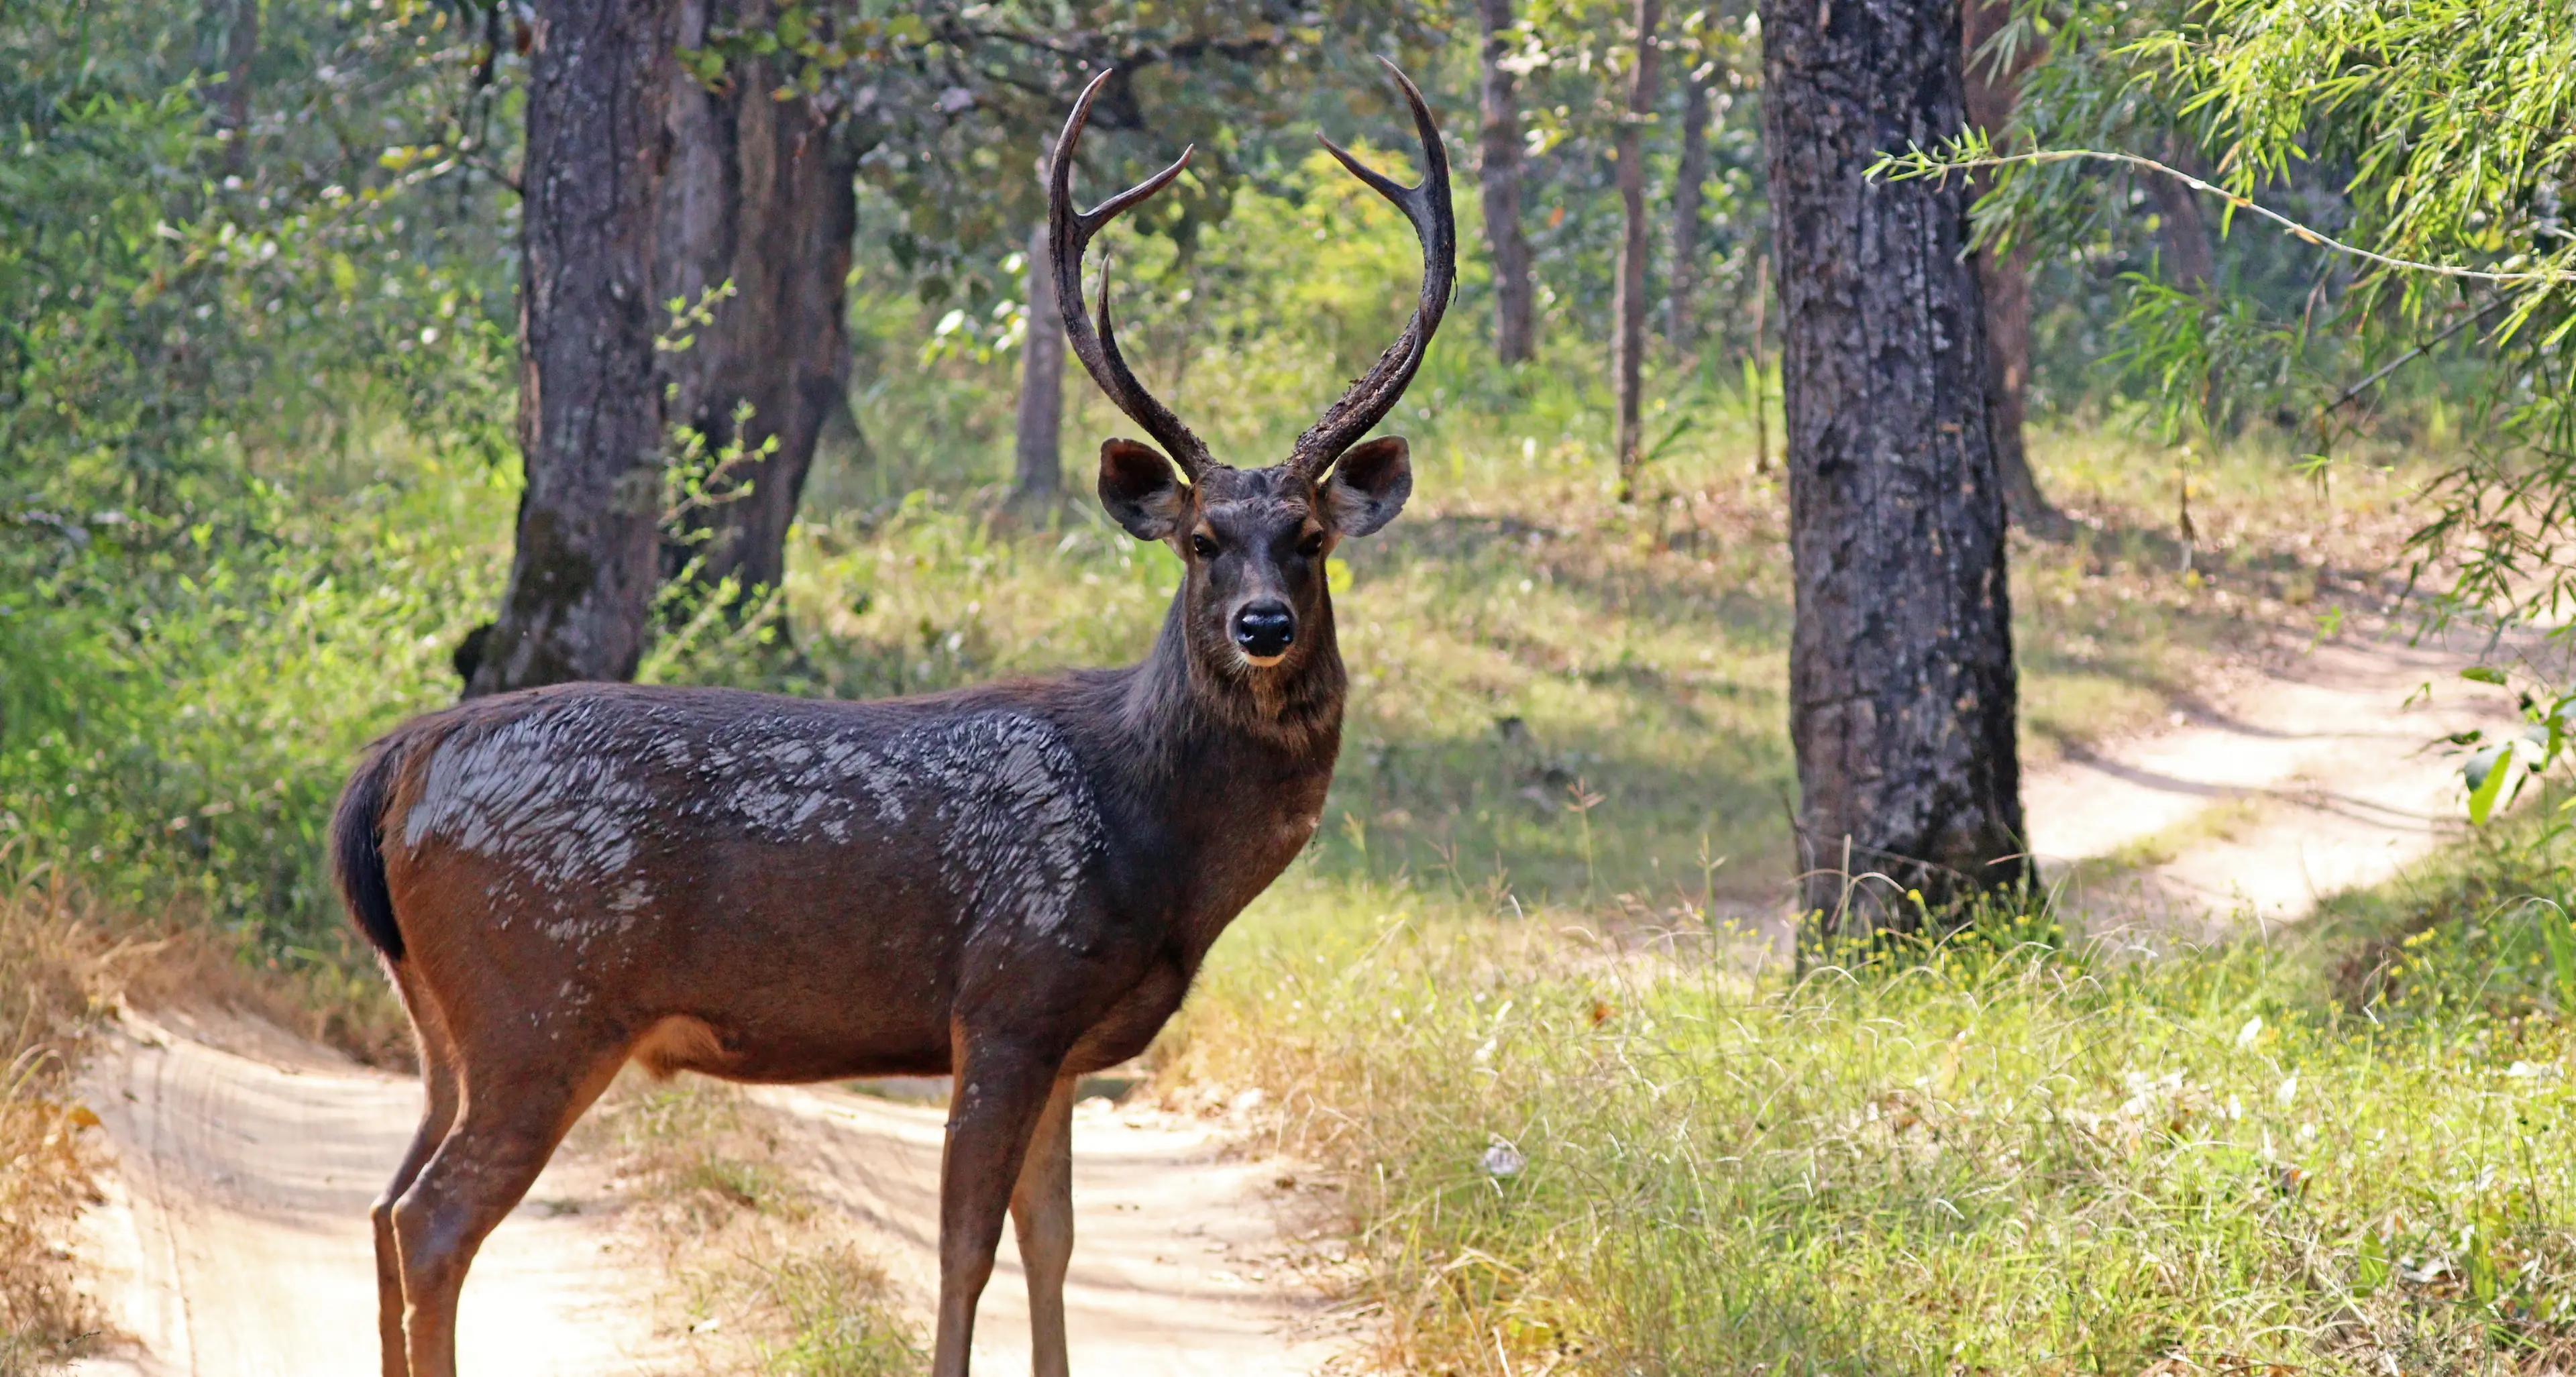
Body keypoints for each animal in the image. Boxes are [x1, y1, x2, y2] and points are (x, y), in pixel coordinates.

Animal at [327, 59, 1453, 1377]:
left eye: (1312, 538)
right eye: (1202, 540)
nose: (1264, 626)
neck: (1160, 848)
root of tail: (399, 763)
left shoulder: (1066, 1044)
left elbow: (1052, 1243)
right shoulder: (1010, 992)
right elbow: (966, 1247)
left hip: (441, 1020)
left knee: (383, 1206)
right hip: (539, 1001)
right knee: (432, 1219)